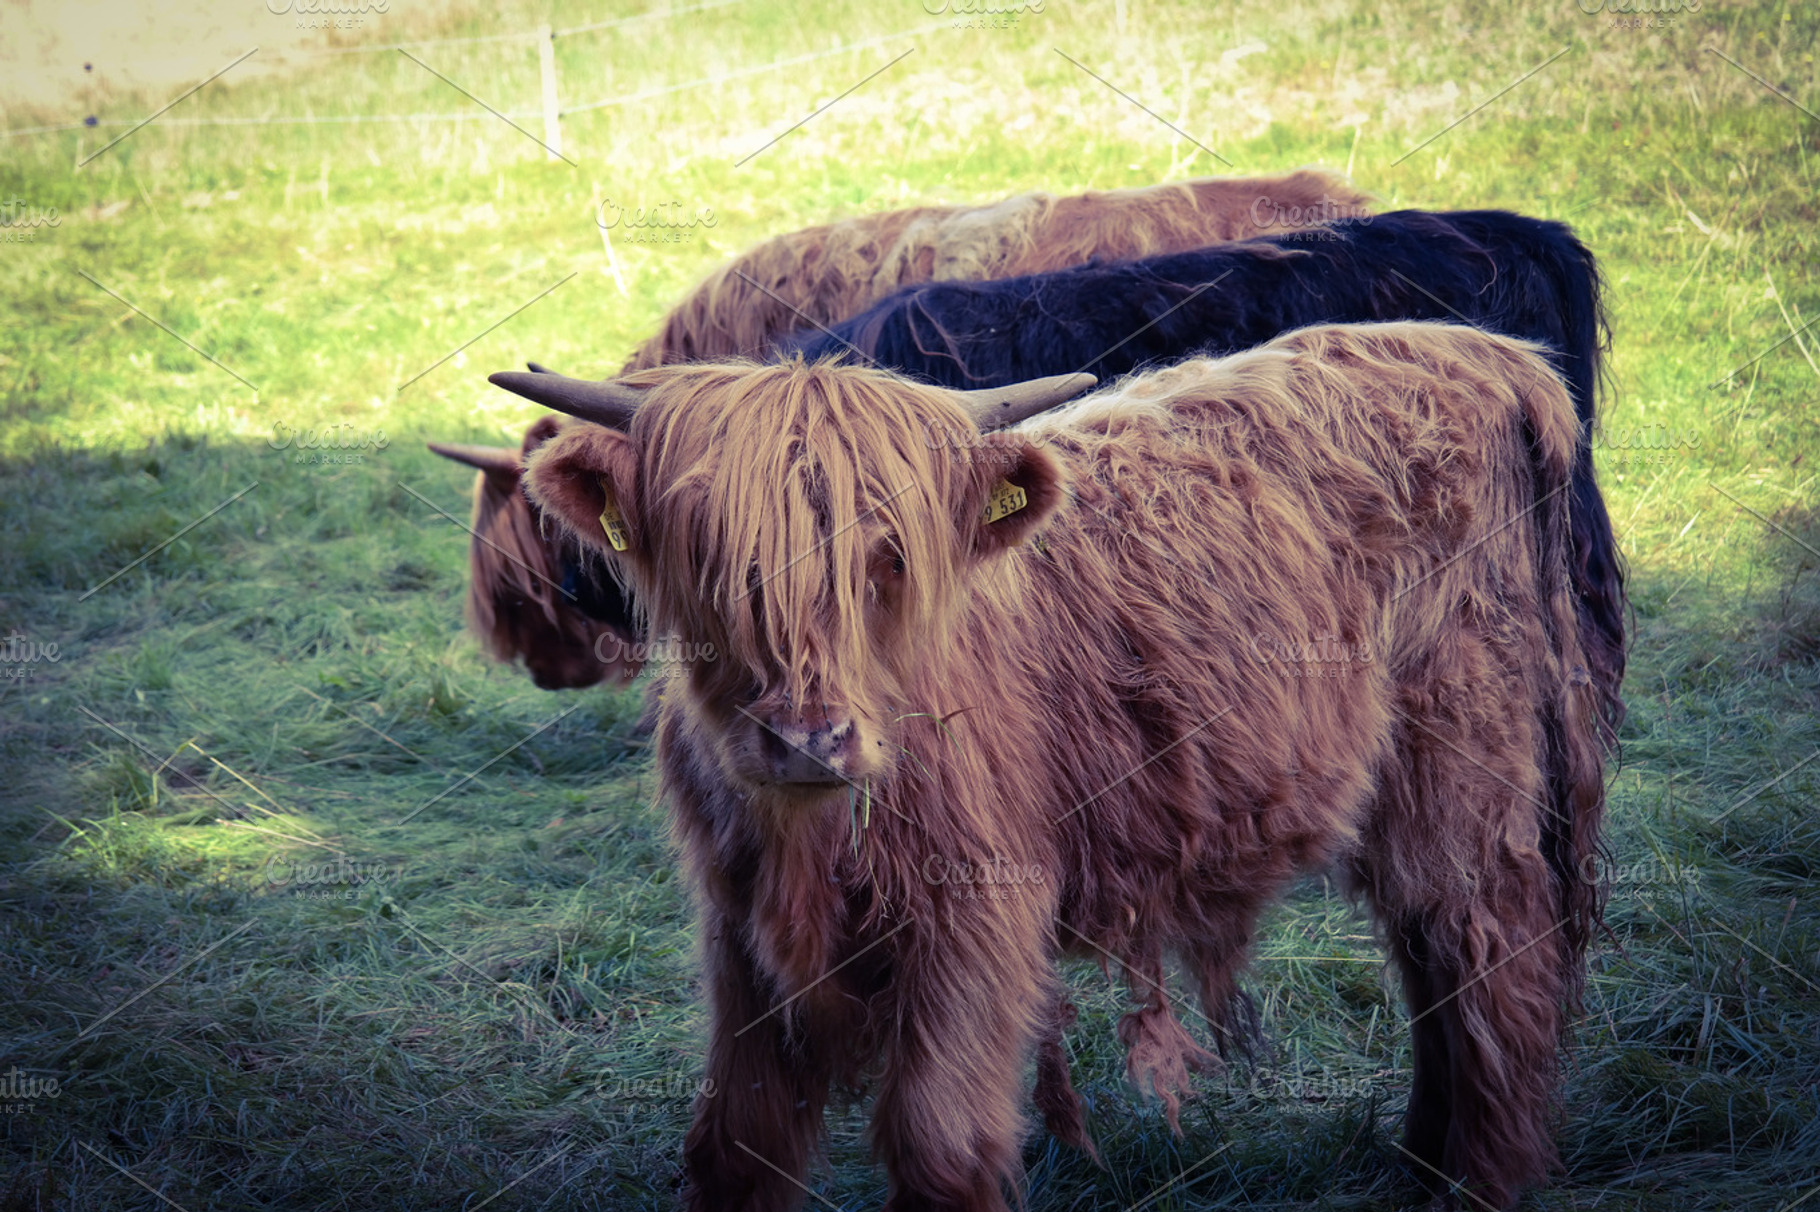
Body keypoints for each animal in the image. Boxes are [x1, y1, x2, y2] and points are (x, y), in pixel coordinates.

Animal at [514, 321, 1610, 1210]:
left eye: (891, 556)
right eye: (714, 556)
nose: (805, 739)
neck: (812, 839)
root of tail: (1481, 350)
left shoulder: (976, 916)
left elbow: (939, 1146)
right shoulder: (738, 928)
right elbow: (736, 1145)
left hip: (1463, 762)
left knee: (1485, 944)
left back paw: (1475, 1181)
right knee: (1427, 948)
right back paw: (1416, 1162)